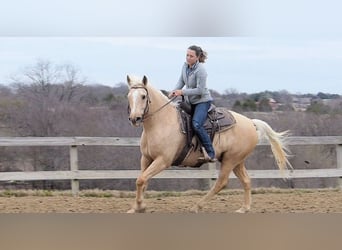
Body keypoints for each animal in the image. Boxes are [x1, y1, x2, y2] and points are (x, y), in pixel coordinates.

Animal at [125, 74, 292, 213]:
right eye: (129, 96)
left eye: (143, 96)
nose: (134, 118)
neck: (161, 123)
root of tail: (251, 123)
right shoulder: (146, 158)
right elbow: (142, 181)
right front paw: (137, 207)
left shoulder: (163, 161)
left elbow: (141, 180)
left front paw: (139, 206)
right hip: (237, 161)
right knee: (246, 181)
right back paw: (244, 208)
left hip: (230, 160)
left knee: (221, 183)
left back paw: (197, 206)